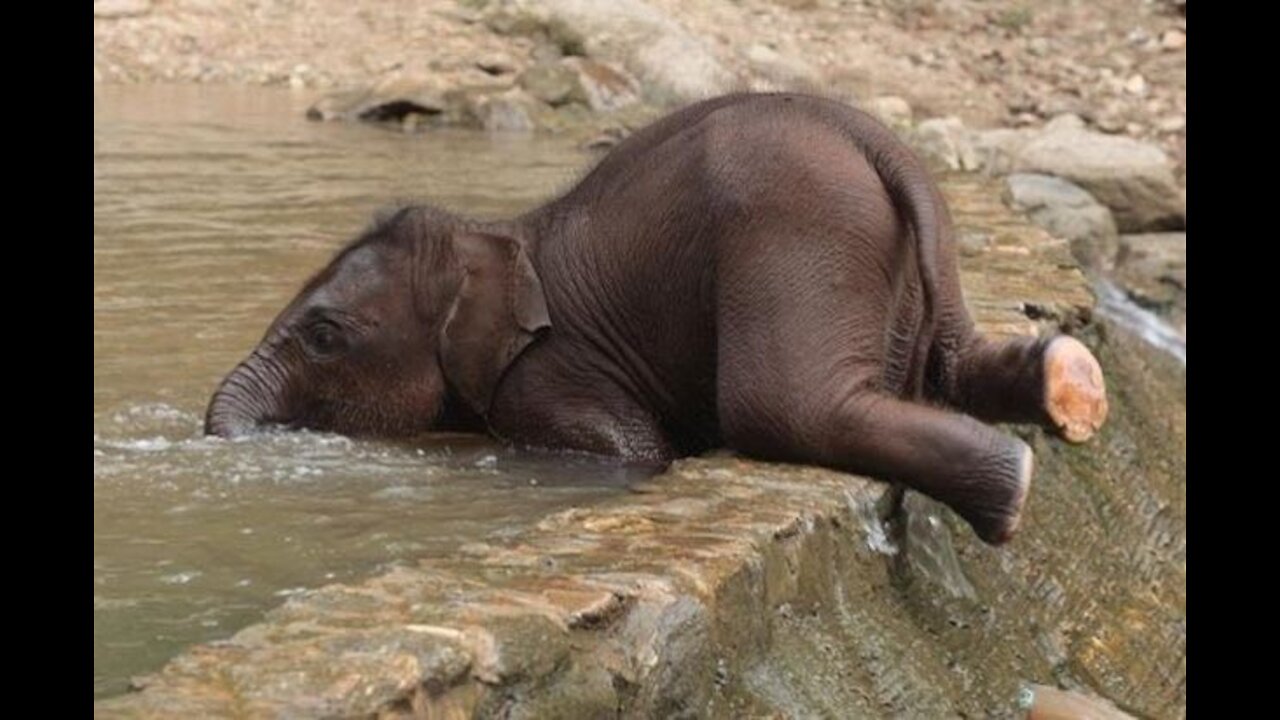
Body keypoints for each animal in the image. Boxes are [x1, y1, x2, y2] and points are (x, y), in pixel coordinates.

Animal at [204, 90, 1105, 543]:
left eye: (324, 336)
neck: (496, 236)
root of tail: (879, 141)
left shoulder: (551, 380)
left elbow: (634, 453)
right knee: (951, 365)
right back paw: (1068, 383)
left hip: (795, 233)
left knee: (783, 407)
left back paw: (1011, 492)